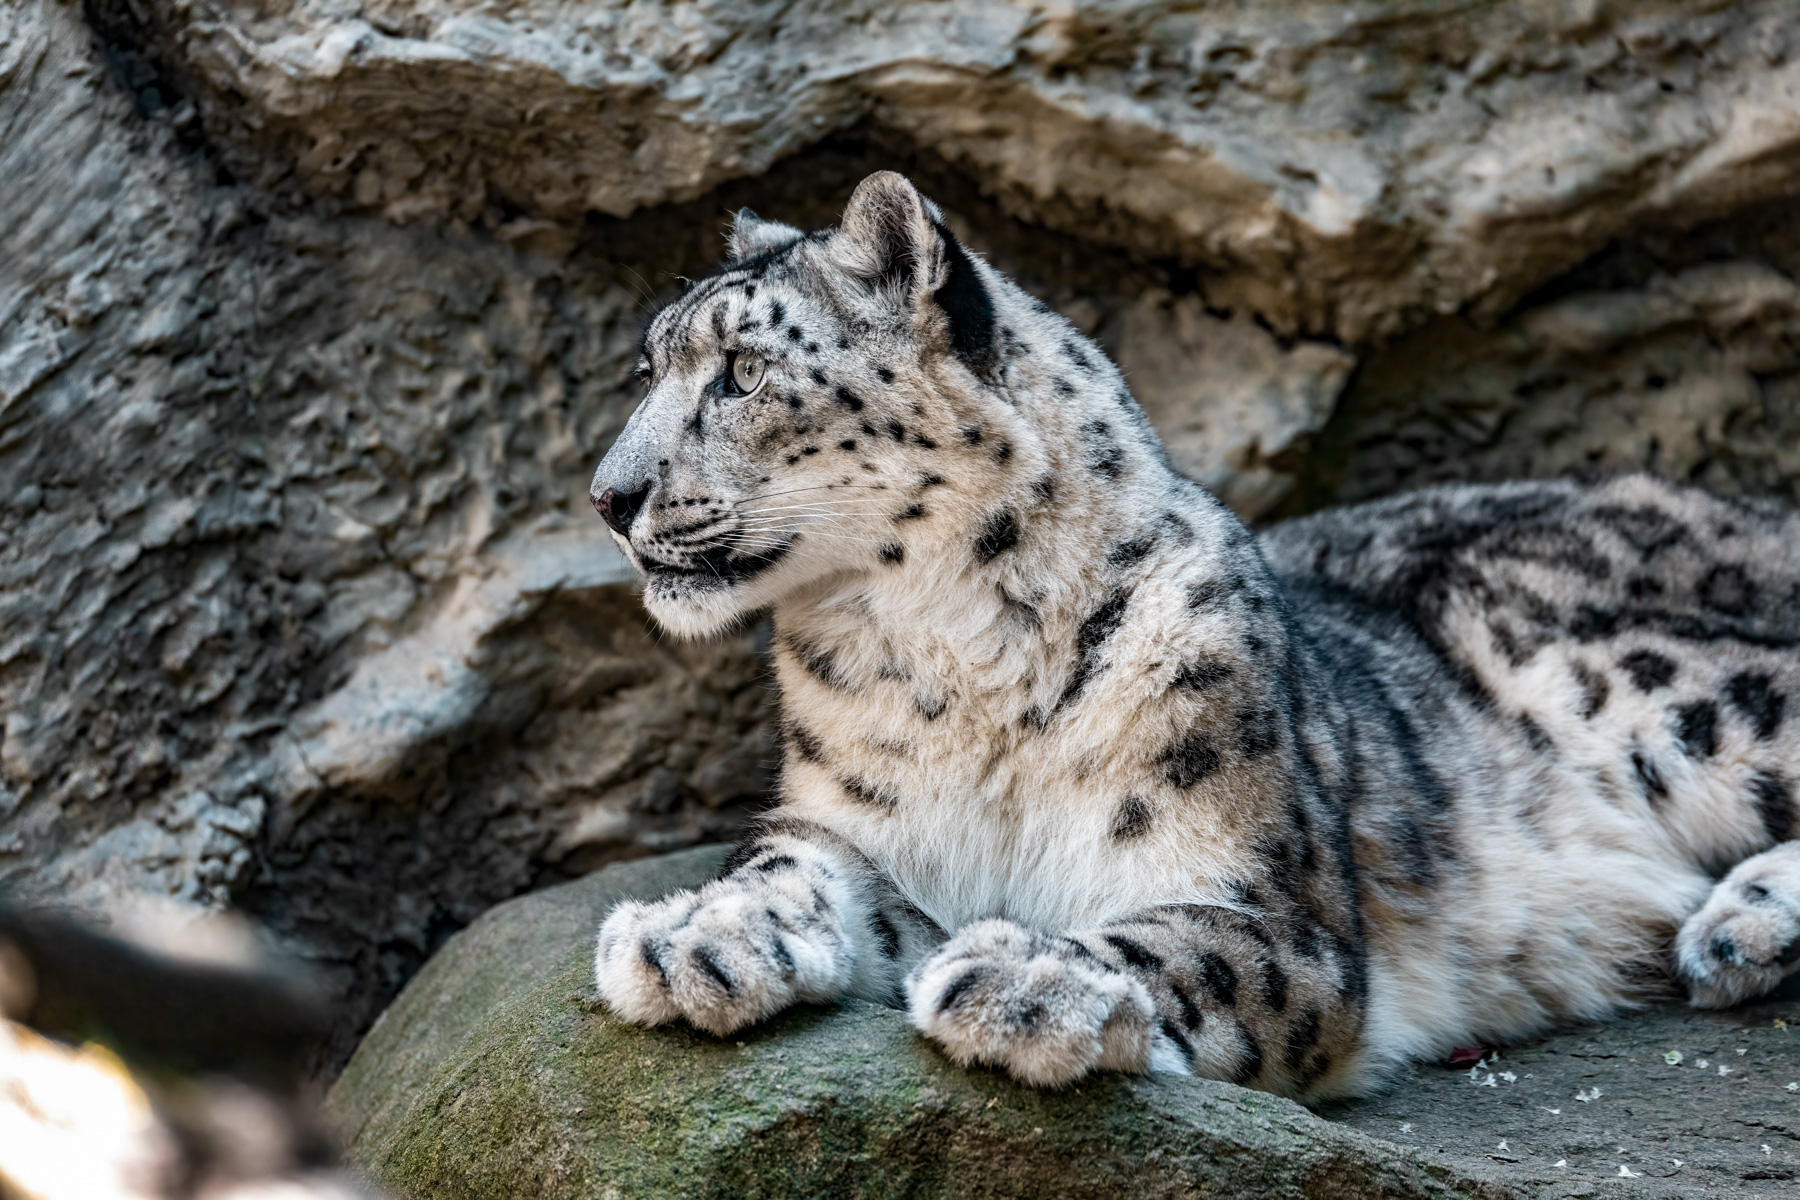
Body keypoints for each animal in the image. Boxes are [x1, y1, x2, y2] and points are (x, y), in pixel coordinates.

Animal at [586, 171, 1800, 1099]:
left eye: (745, 372)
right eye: (650, 369)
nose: (608, 495)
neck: (945, 656)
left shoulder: (1278, 911)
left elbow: (1181, 943)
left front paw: (1029, 979)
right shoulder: (851, 825)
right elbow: (791, 866)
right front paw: (691, 935)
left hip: (1622, 673)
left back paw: (1736, 924)